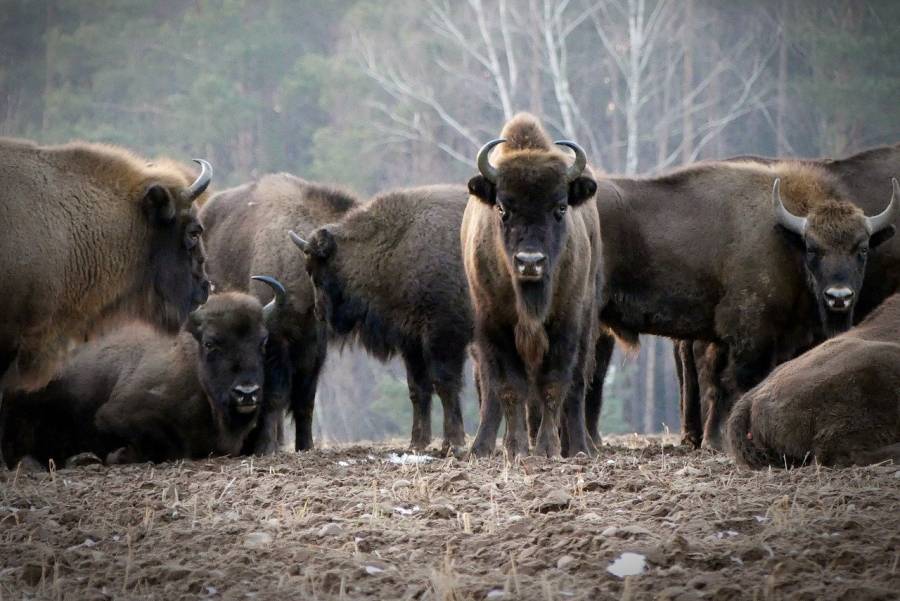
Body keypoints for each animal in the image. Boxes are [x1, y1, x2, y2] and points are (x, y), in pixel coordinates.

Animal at [0, 278, 288, 466]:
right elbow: (170, 444)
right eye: (210, 343)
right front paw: (118, 456)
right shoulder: (116, 414)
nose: (246, 392)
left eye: (263, 342)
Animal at [290, 185, 474, 452]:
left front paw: (455, 444)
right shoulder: (411, 342)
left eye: (316, 273)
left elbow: (445, 384)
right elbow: (418, 388)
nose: (319, 313)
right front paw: (417, 444)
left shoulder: (443, 336)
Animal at [460, 112, 600, 458]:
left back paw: (580, 448)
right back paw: (481, 448)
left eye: (560, 207)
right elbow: (510, 387)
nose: (530, 262)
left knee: (576, 387)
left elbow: (554, 385)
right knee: (491, 391)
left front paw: (548, 448)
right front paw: (518, 448)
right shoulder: (495, 325)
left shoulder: (565, 322)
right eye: (502, 208)